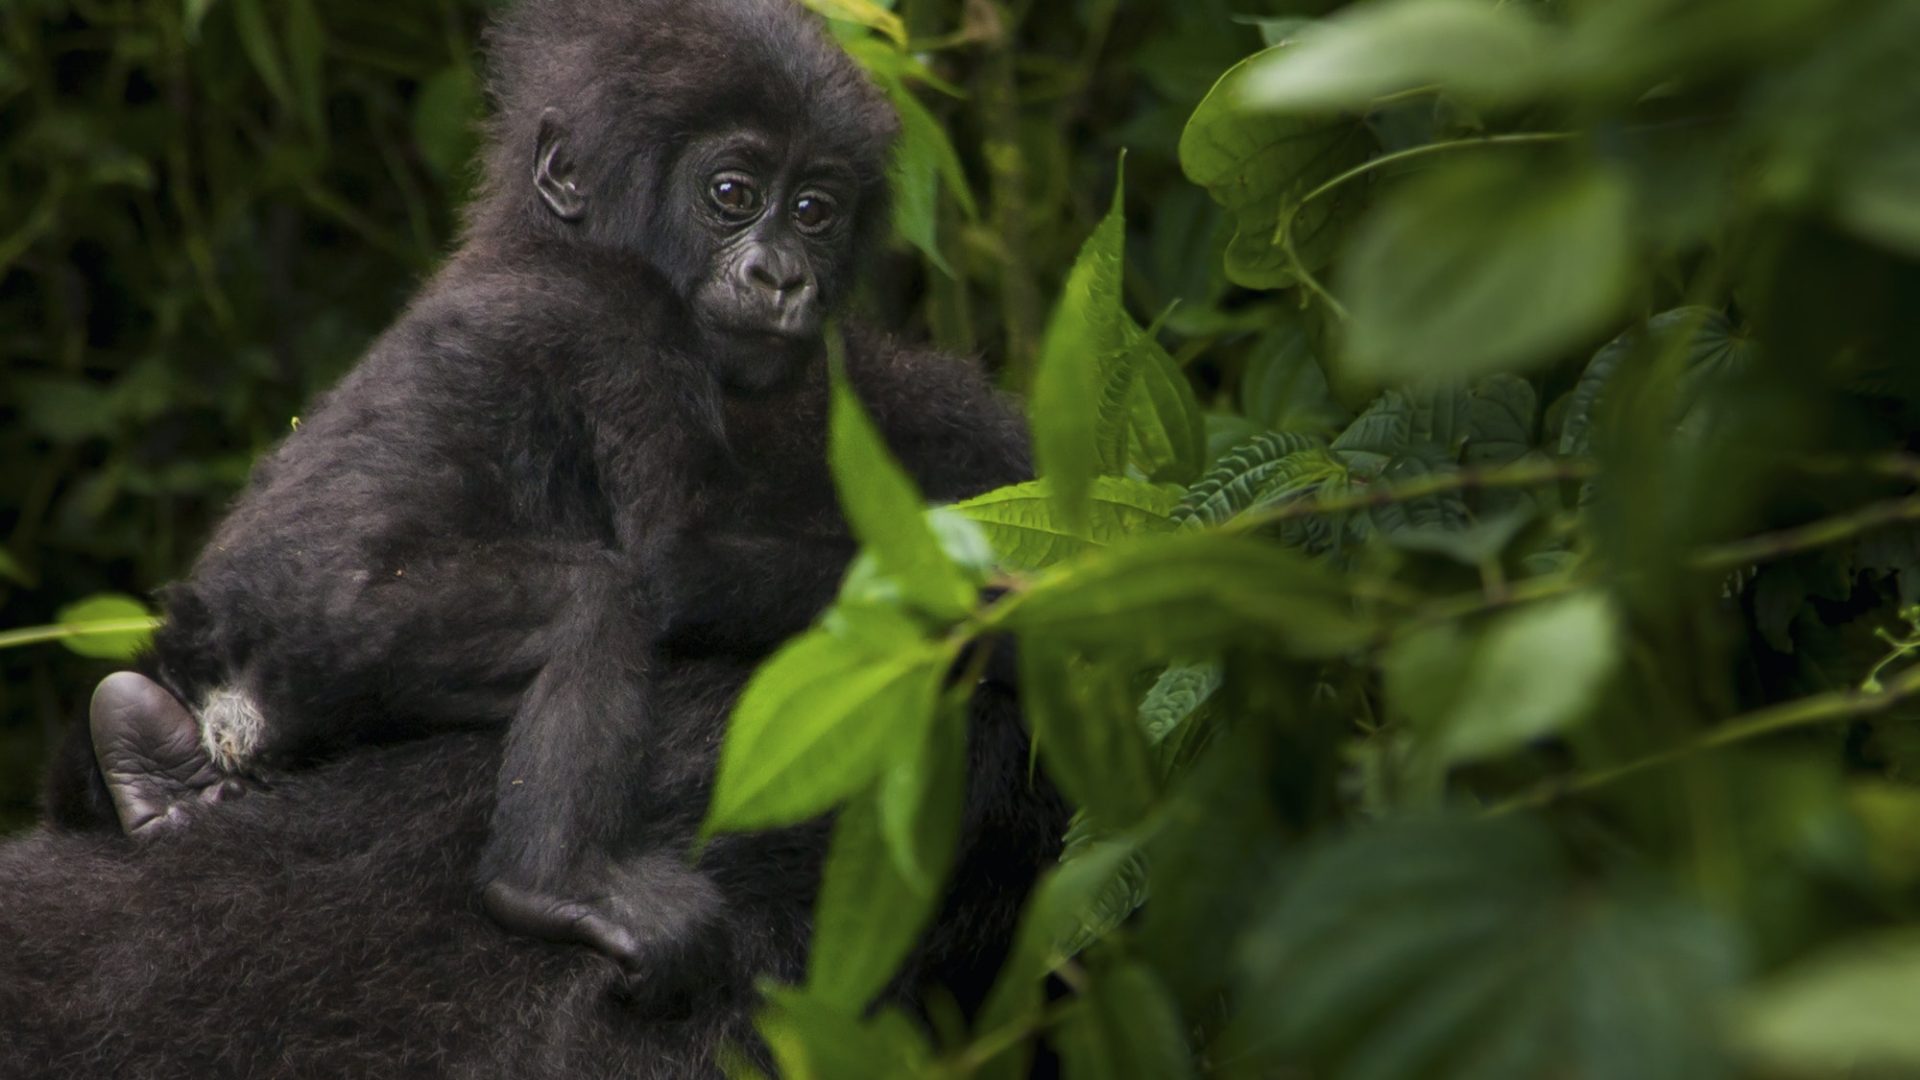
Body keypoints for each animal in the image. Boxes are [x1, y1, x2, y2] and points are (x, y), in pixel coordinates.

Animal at [54, 0, 1043, 972]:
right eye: (732, 195)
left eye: (815, 211)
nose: (781, 276)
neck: (540, 234)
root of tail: (221, 674)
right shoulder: (624, 321)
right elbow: (676, 552)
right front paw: (1012, 611)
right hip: (339, 626)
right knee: (594, 604)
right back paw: (548, 887)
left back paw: (153, 774)